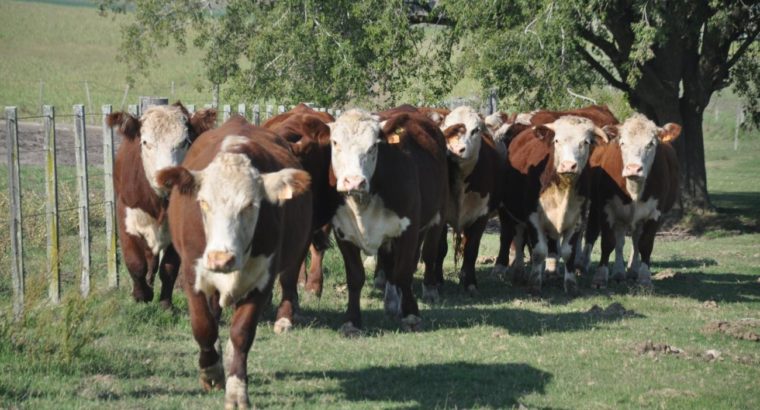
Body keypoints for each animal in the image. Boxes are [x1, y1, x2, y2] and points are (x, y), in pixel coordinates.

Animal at [106, 102, 217, 308]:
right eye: (145, 142)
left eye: (184, 142)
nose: (167, 178)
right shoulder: (125, 219)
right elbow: (135, 263)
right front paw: (141, 295)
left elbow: (169, 268)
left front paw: (166, 304)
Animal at [157, 117, 312, 408]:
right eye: (203, 203)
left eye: (251, 205)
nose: (221, 258)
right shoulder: (193, 273)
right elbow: (203, 326)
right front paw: (210, 371)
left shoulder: (262, 280)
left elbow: (241, 334)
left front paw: (237, 390)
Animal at [330, 109, 448, 334]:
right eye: (334, 143)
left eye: (373, 146)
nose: (354, 181)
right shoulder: (342, 232)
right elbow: (355, 277)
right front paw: (351, 322)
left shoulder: (408, 230)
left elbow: (403, 272)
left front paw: (411, 315)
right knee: (388, 260)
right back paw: (392, 301)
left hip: (437, 216)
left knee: (428, 255)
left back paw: (429, 290)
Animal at [436, 106, 508, 294]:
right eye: (447, 128)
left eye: (476, 130)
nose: (456, 149)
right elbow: (440, 248)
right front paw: (438, 281)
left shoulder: (481, 215)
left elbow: (471, 249)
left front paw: (470, 283)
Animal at [580, 114, 684, 288]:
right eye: (622, 143)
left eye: (651, 144)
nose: (634, 168)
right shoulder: (607, 208)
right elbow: (608, 242)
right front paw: (600, 277)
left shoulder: (655, 213)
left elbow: (645, 244)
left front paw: (645, 278)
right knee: (614, 239)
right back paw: (617, 273)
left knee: (635, 241)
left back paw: (632, 270)